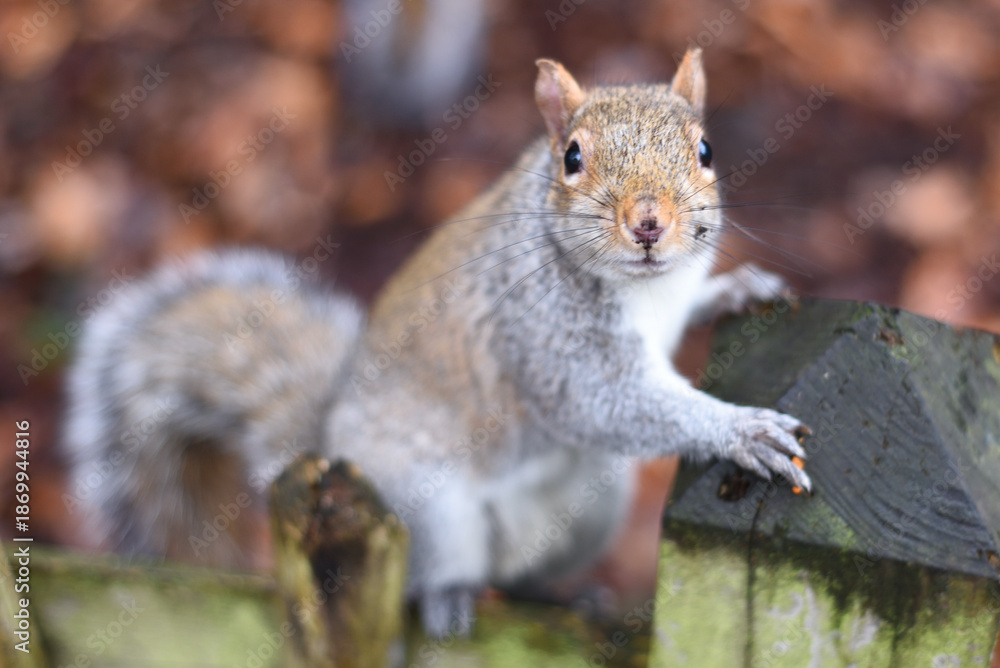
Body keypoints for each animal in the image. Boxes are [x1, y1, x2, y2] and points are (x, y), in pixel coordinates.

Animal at [64, 48, 812, 639]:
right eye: (572, 157)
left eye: (706, 150)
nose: (649, 222)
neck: (646, 290)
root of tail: (330, 443)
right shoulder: (541, 334)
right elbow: (600, 401)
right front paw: (741, 429)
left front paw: (739, 290)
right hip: (427, 509)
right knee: (439, 573)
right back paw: (450, 601)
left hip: (591, 510)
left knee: (521, 574)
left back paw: (566, 598)